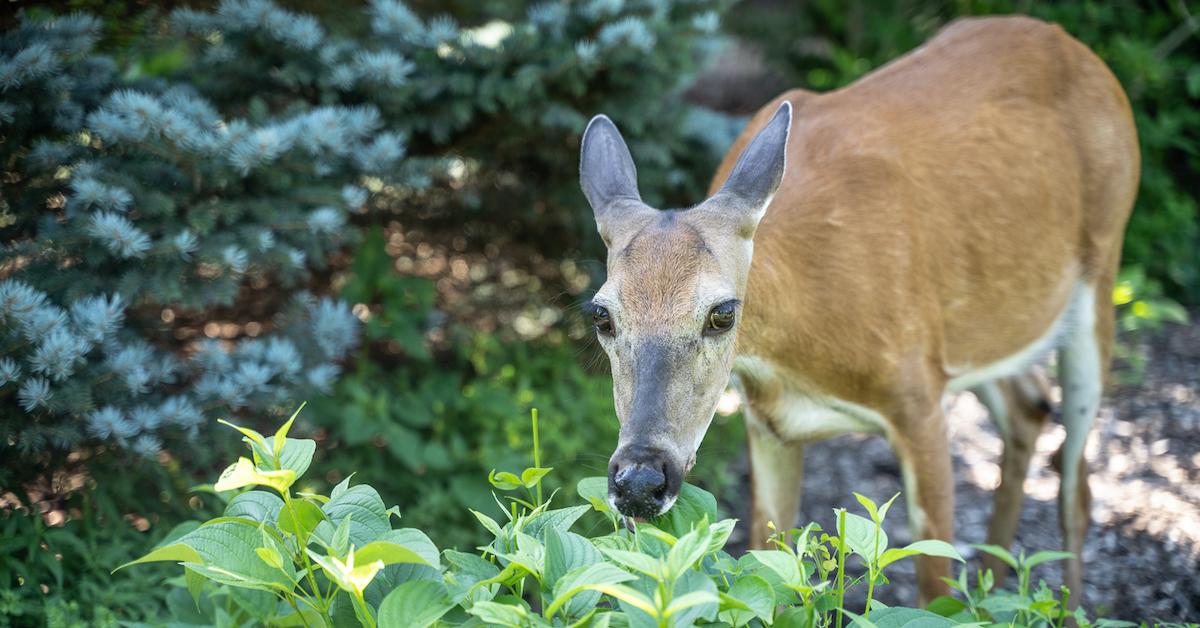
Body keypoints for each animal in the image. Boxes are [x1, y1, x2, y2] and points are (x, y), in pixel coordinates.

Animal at [576, 14, 1137, 605]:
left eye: (722, 312)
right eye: (602, 315)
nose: (640, 480)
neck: (800, 345)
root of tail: (1079, 50)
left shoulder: (920, 400)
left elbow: (933, 588)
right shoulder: (767, 423)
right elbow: (770, 567)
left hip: (1101, 274)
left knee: (1077, 489)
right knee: (1029, 407)